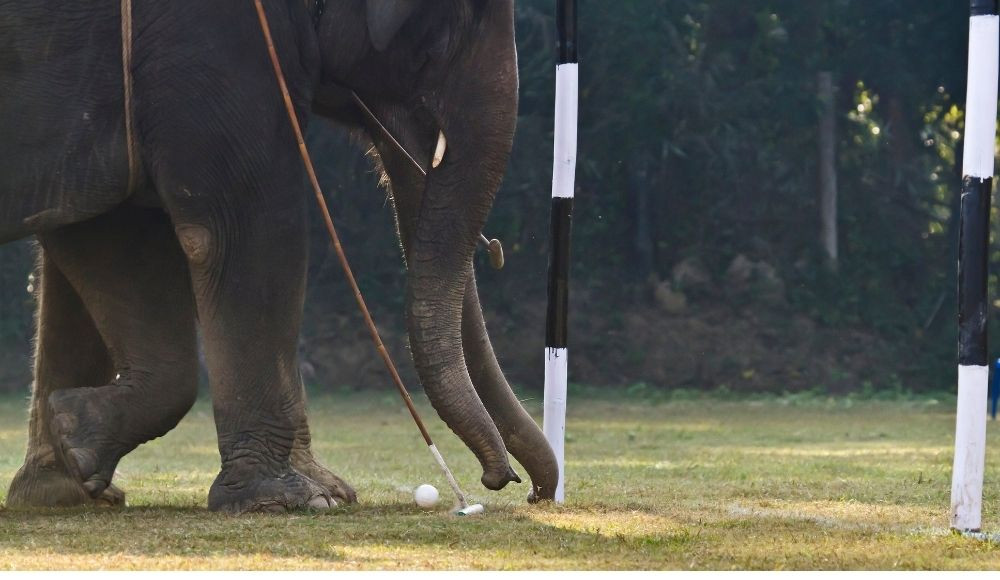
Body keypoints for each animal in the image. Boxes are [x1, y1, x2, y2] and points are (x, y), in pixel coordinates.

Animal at [0, 0, 559, 513]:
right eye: (451, 26)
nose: (517, 485)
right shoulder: (216, 40)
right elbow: (247, 223)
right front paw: (288, 499)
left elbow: (86, 226)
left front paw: (66, 474)